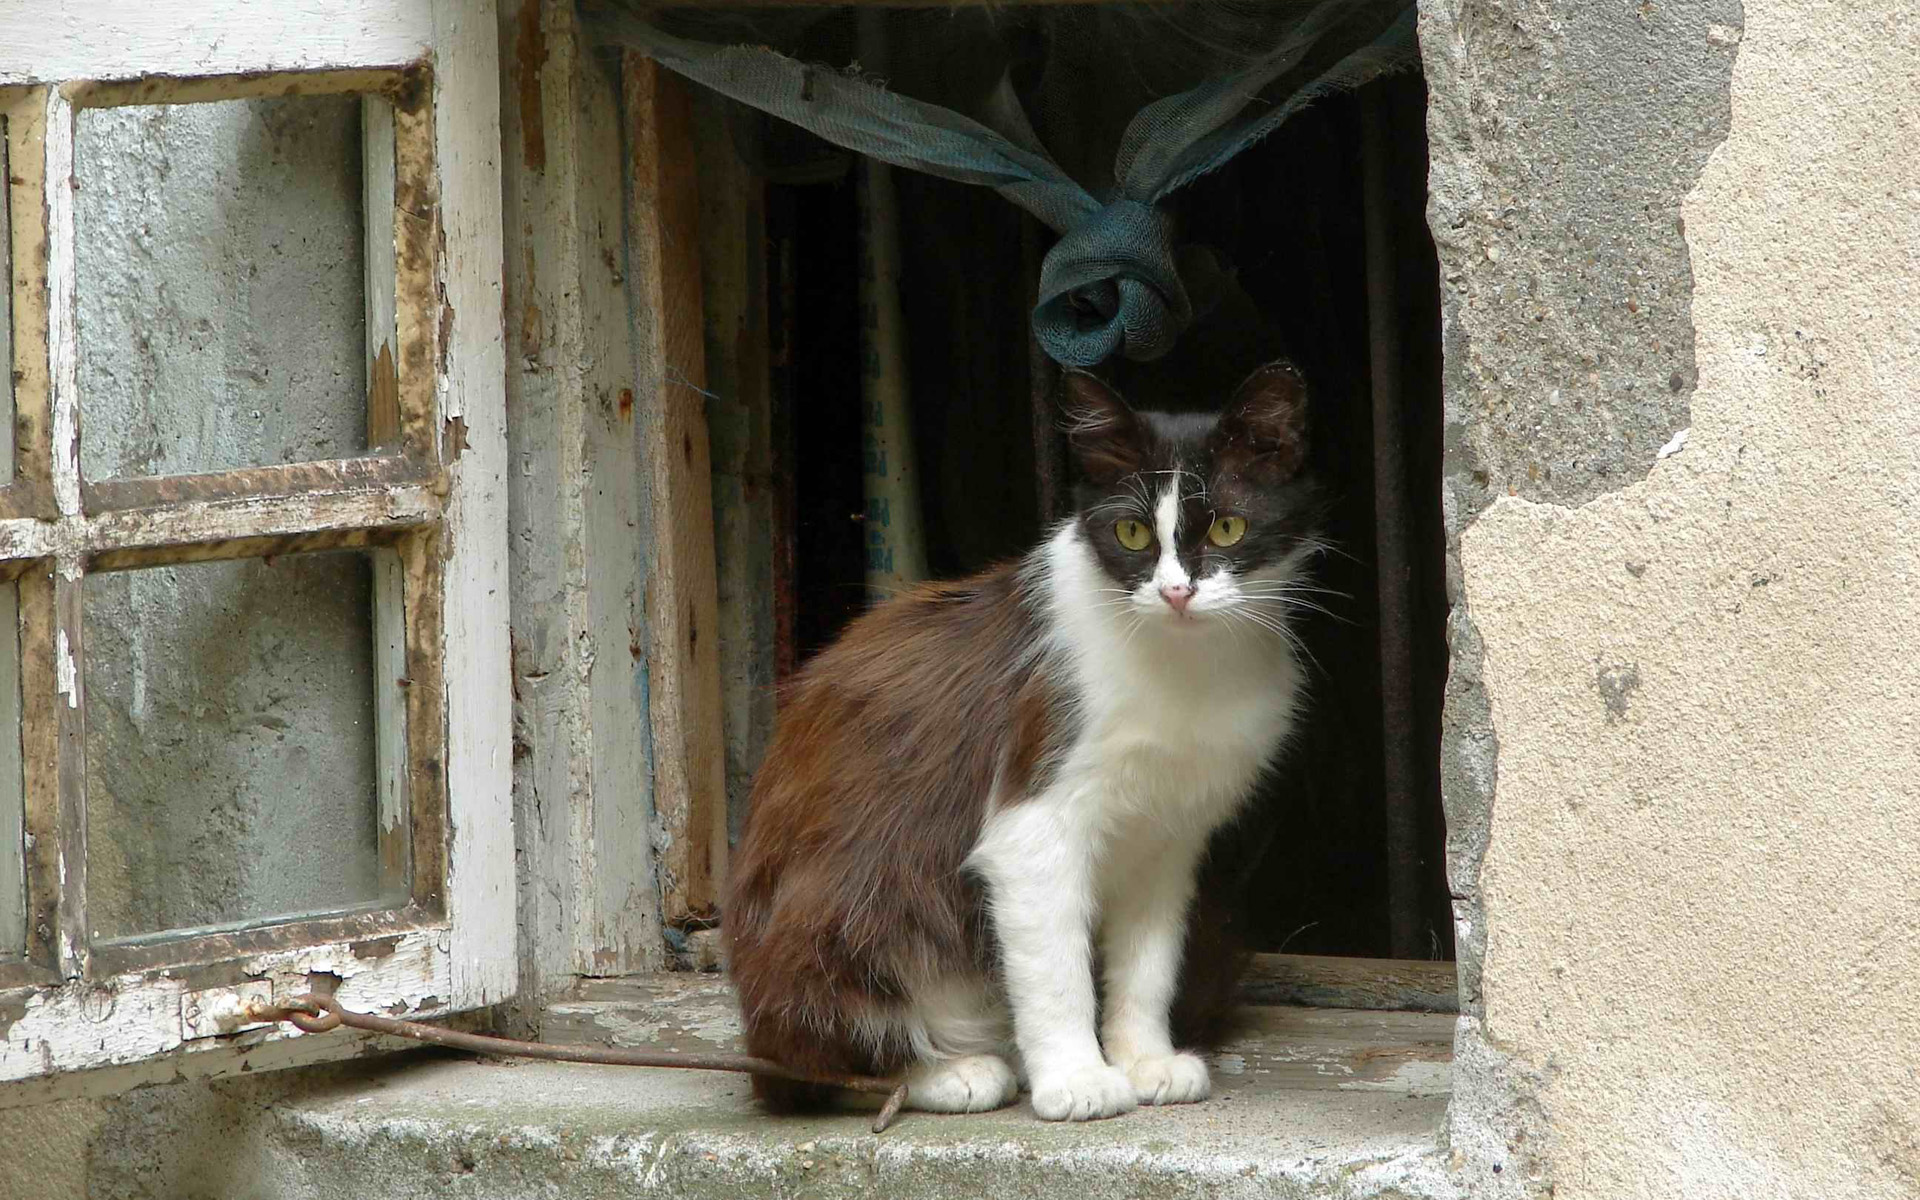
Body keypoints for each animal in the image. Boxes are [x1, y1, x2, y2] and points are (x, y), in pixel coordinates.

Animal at [721, 360, 1320, 1121]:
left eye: (1229, 527)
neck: (1185, 662)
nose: (1176, 593)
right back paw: (944, 1073)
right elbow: (1056, 966)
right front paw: (1077, 1077)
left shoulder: (1169, 835)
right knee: (803, 1066)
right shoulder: (1034, 814)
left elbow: (1147, 959)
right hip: (845, 908)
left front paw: (1143, 1059)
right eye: (1131, 533)